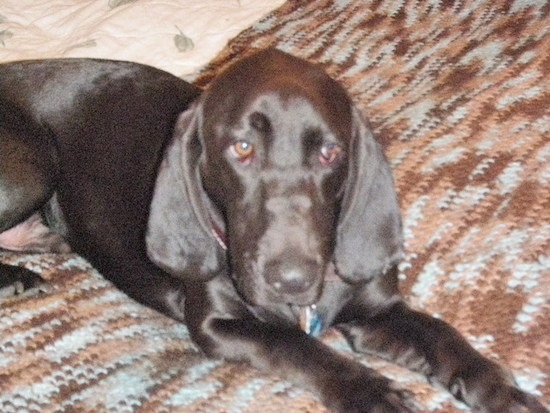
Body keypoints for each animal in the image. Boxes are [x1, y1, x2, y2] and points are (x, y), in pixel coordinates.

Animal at [1, 49, 548, 412]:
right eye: (241, 148)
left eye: (330, 152)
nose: (293, 281)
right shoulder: (218, 324)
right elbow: (296, 345)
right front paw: (373, 392)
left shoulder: (374, 310)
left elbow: (442, 335)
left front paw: (504, 390)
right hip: (35, 162)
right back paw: (19, 276)